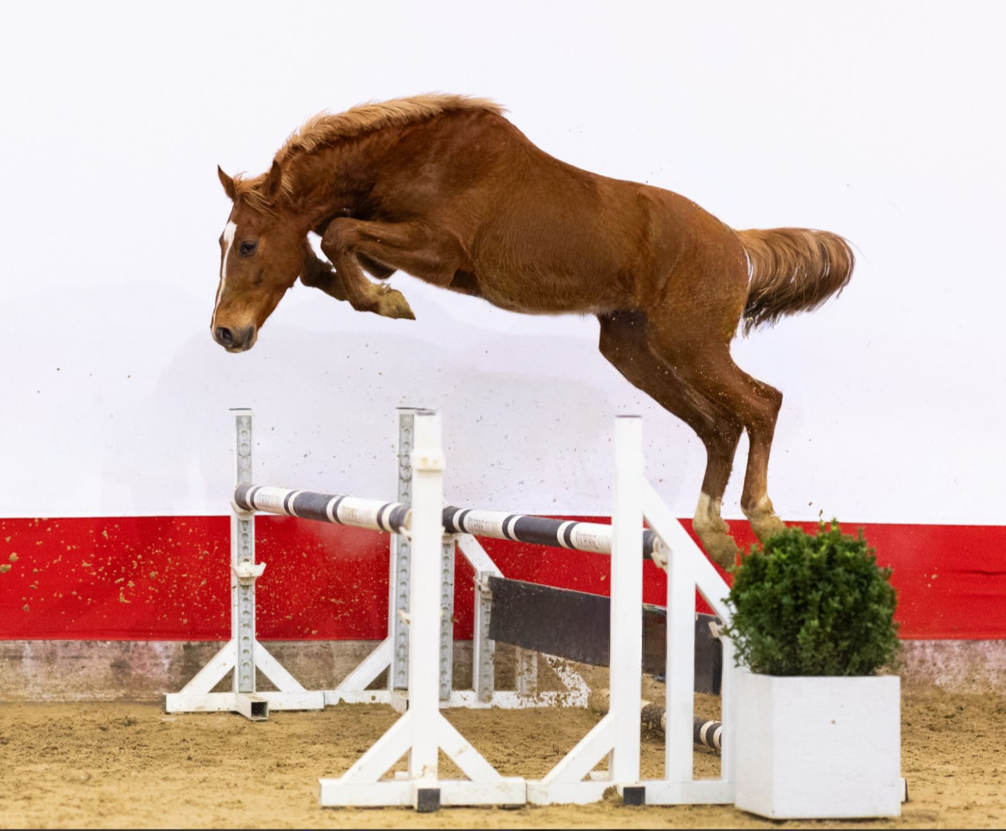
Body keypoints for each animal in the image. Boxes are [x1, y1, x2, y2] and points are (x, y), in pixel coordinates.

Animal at [211, 94, 854, 567]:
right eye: (224, 242)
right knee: (719, 425)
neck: (414, 159)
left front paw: (386, 303)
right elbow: (326, 247)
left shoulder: (439, 250)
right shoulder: (391, 246)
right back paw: (715, 534)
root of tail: (735, 241)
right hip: (634, 351)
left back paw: (763, 517)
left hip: (688, 344)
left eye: (247, 245)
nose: (225, 334)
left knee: (760, 404)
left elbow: (339, 233)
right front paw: (365, 291)